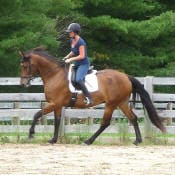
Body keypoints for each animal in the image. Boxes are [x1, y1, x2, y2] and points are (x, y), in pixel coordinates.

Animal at [19, 47, 165, 146]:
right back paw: (137, 140)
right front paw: (53, 140)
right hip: (122, 103)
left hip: (111, 104)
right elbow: (57, 121)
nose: (23, 84)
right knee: (133, 118)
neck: (54, 74)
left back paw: (88, 140)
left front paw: (31, 134)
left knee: (105, 123)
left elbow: (37, 114)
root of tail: (125, 76)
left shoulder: (56, 103)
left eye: (26, 66)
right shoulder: (57, 105)